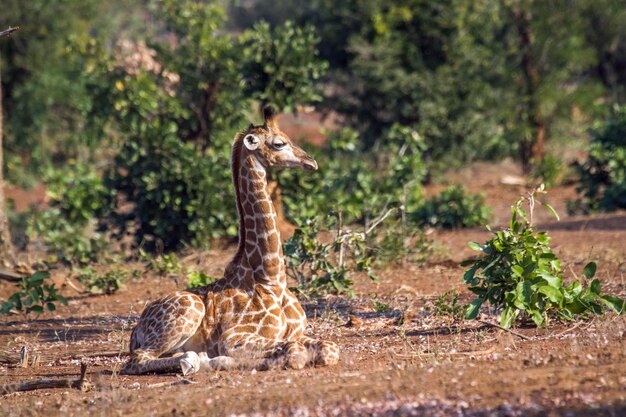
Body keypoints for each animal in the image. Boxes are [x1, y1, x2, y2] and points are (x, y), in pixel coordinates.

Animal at [119, 106, 338, 374]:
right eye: (279, 143)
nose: (311, 162)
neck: (272, 278)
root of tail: (137, 327)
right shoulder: (233, 337)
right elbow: (292, 353)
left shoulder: (298, 332)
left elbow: (329, 348)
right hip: (187, 312)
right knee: (137, 360)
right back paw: (192, 361)